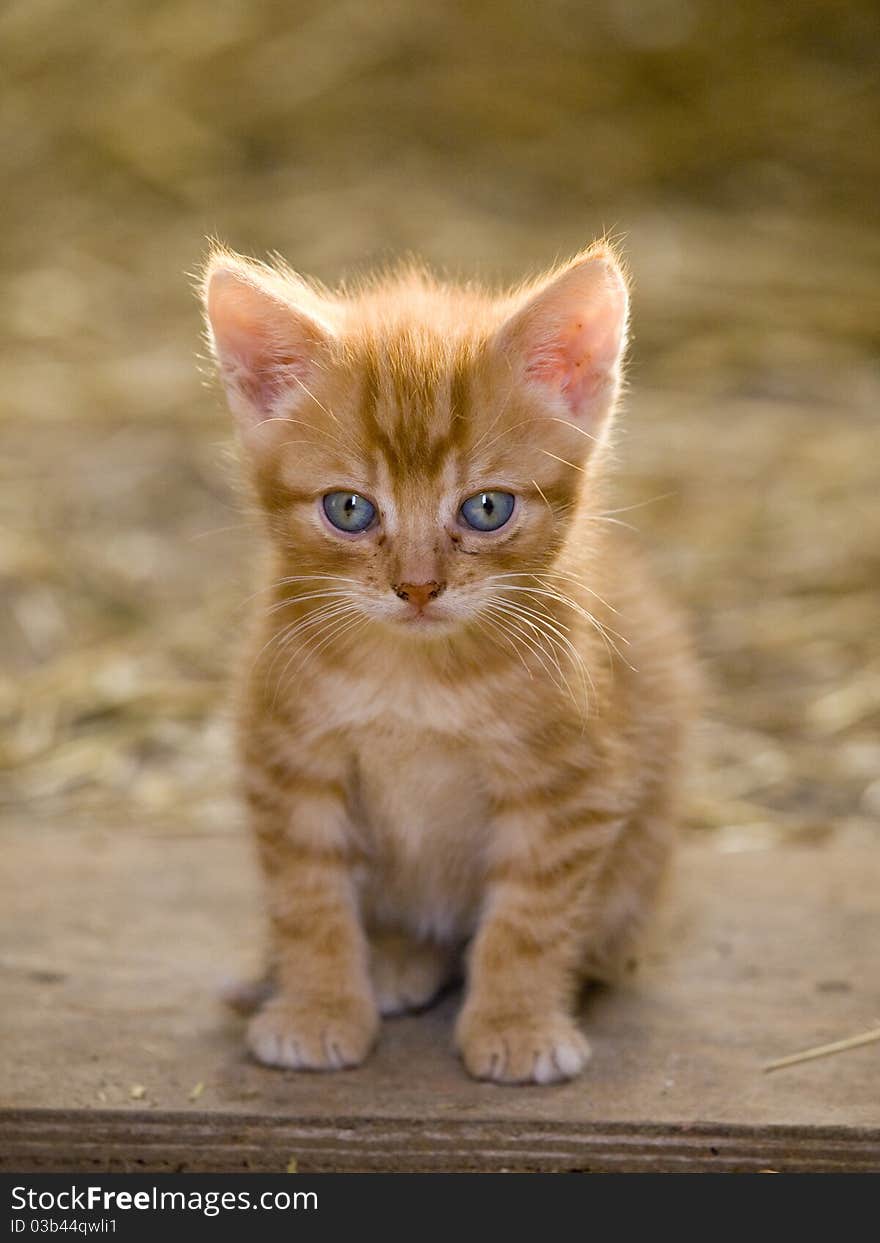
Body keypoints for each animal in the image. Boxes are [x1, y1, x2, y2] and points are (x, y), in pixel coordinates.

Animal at [198, 237, 696, 1083]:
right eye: (349, 508)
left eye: (486, 508)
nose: (419, 586)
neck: (418, 679)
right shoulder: (288, 757)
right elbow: (308, 896)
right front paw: (318, 1006)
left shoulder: (572, 779)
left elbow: (530, 915)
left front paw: (518, 1021)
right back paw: (386, 958)